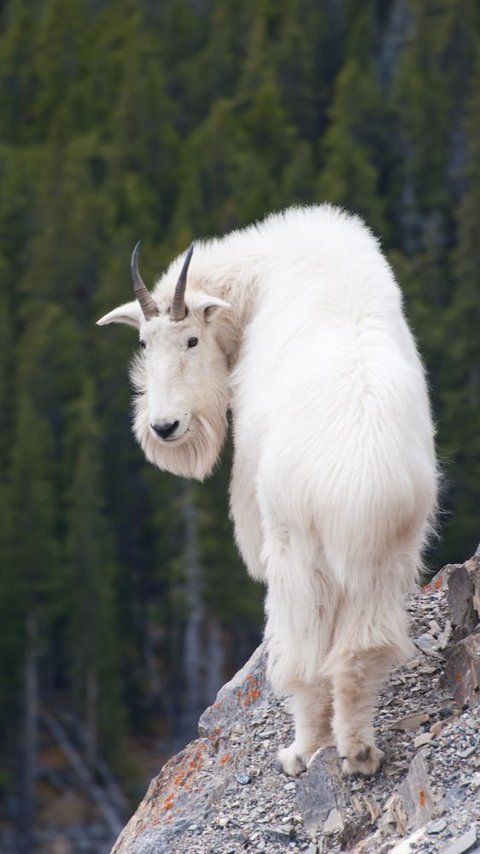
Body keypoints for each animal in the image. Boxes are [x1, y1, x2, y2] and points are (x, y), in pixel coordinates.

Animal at [98, 206, 438, 776]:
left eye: (191, 340)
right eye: (145, 342)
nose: (165, 427)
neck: (259, 276)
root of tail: (358, 489)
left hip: (296, 547)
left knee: (303, 655)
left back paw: (302, 751)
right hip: (389, 554)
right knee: (361, 650)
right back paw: (359, 751)